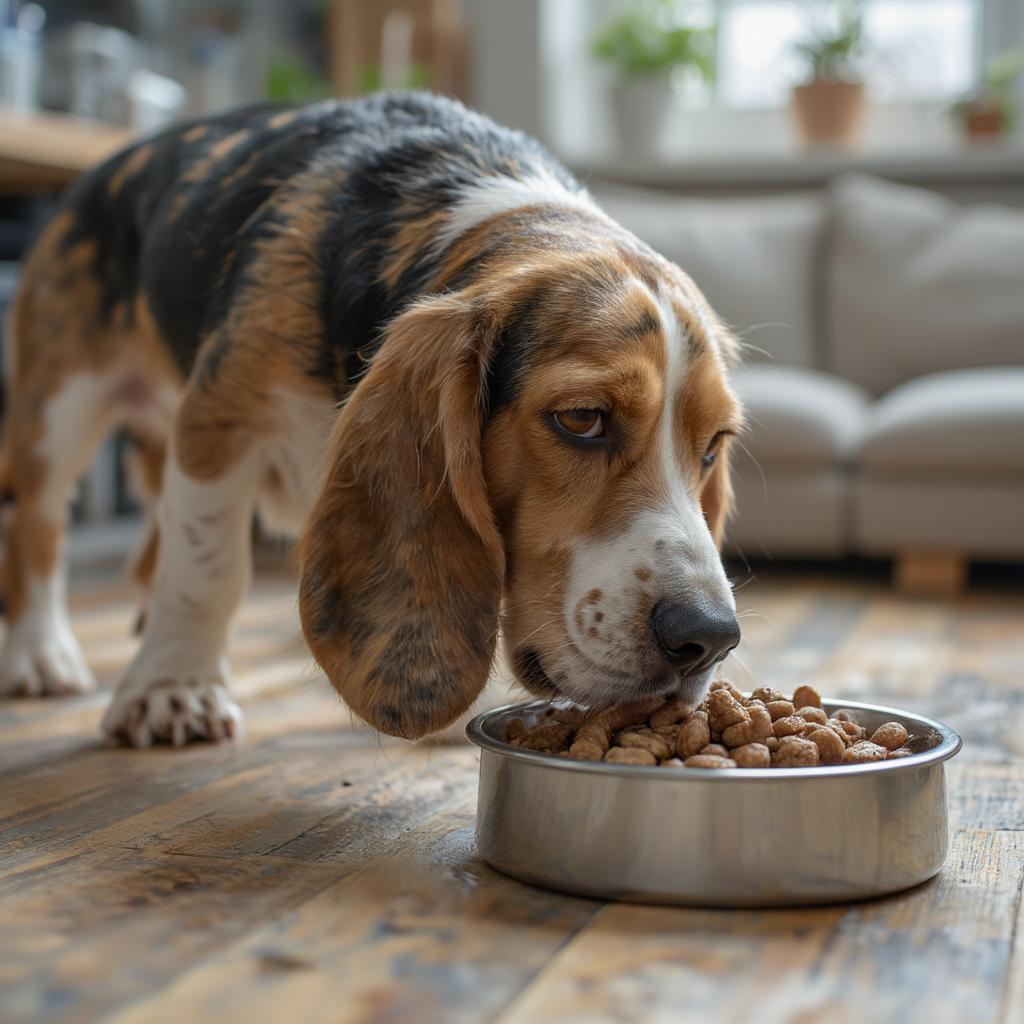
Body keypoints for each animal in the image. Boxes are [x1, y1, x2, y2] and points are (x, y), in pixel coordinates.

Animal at [0, 94, 741, 745]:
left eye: (712, 445)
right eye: (582, 419)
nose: (709, 637)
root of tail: (104, 163)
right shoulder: (218, 422)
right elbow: (207, 569)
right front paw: (173, 689)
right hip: (58, 410)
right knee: (39, 522)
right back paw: (41, 652)